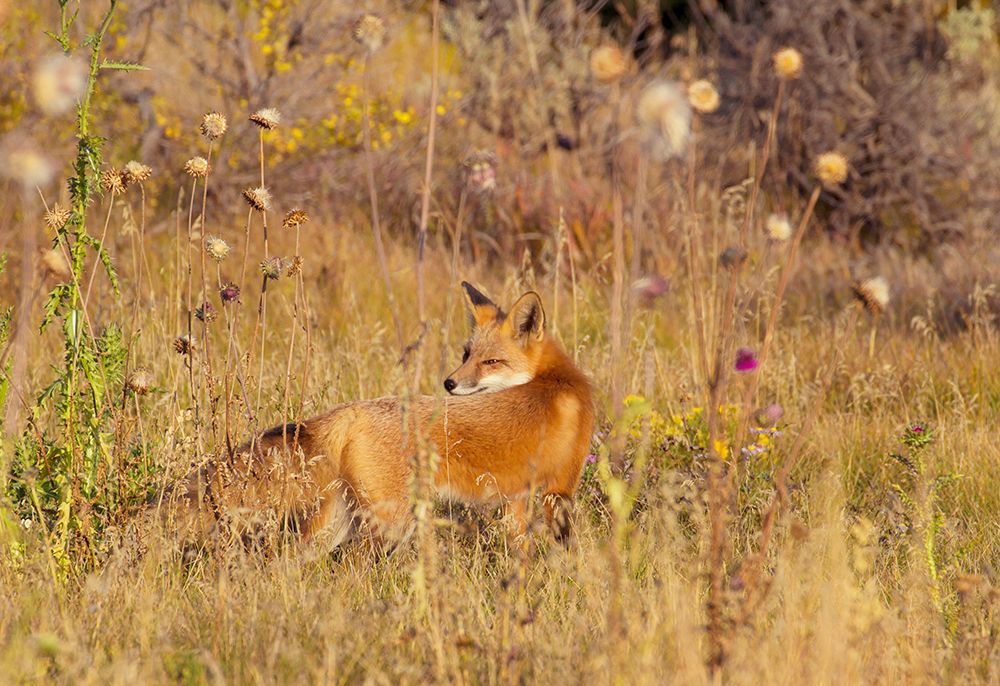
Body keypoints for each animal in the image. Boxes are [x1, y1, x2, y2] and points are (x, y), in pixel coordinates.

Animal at [171, 282, 592, 552]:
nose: (450, 383)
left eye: (489, 362)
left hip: (337, 521)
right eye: (467, 354)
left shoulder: (518, 499)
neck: (556, 380)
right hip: (392, 522)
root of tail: (350, 410)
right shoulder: (559, 490)